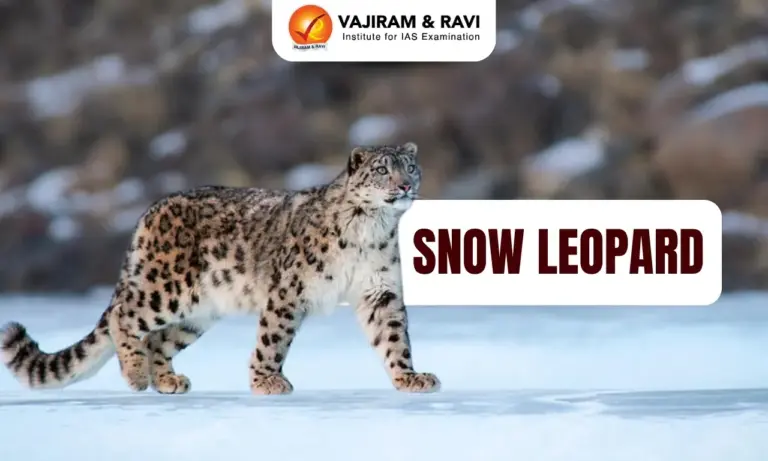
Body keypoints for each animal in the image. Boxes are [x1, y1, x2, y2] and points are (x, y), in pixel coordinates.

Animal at [0, 142, 441, 395]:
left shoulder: (379, 290)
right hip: (165, 290)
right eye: (382, 170)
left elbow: (393, 337)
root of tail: (151, 212)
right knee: (123, 316)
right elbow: (273, 338)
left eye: (410, 167)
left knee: (159, 341)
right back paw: (137, 376)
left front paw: (409, 377)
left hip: (198, 312)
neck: (373, 228)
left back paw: (168, 381)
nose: (404, 185)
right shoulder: (288, 290)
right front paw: (266, 381)